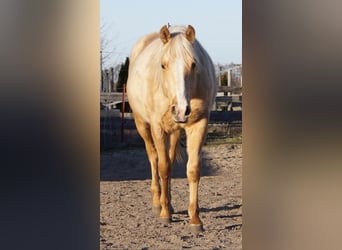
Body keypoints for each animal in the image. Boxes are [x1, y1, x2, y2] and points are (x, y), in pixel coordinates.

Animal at [125, 24, 216, 231]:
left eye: (193, 64)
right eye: (163, 65)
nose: (181, 110)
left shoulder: (199, 125)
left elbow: (193, 169)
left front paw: (195, 220)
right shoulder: (158, 128)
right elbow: (163, 167)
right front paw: (165, 213)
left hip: (174, 132)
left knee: (170, 159)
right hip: (143, 126)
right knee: (154, 159)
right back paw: (157, 203)